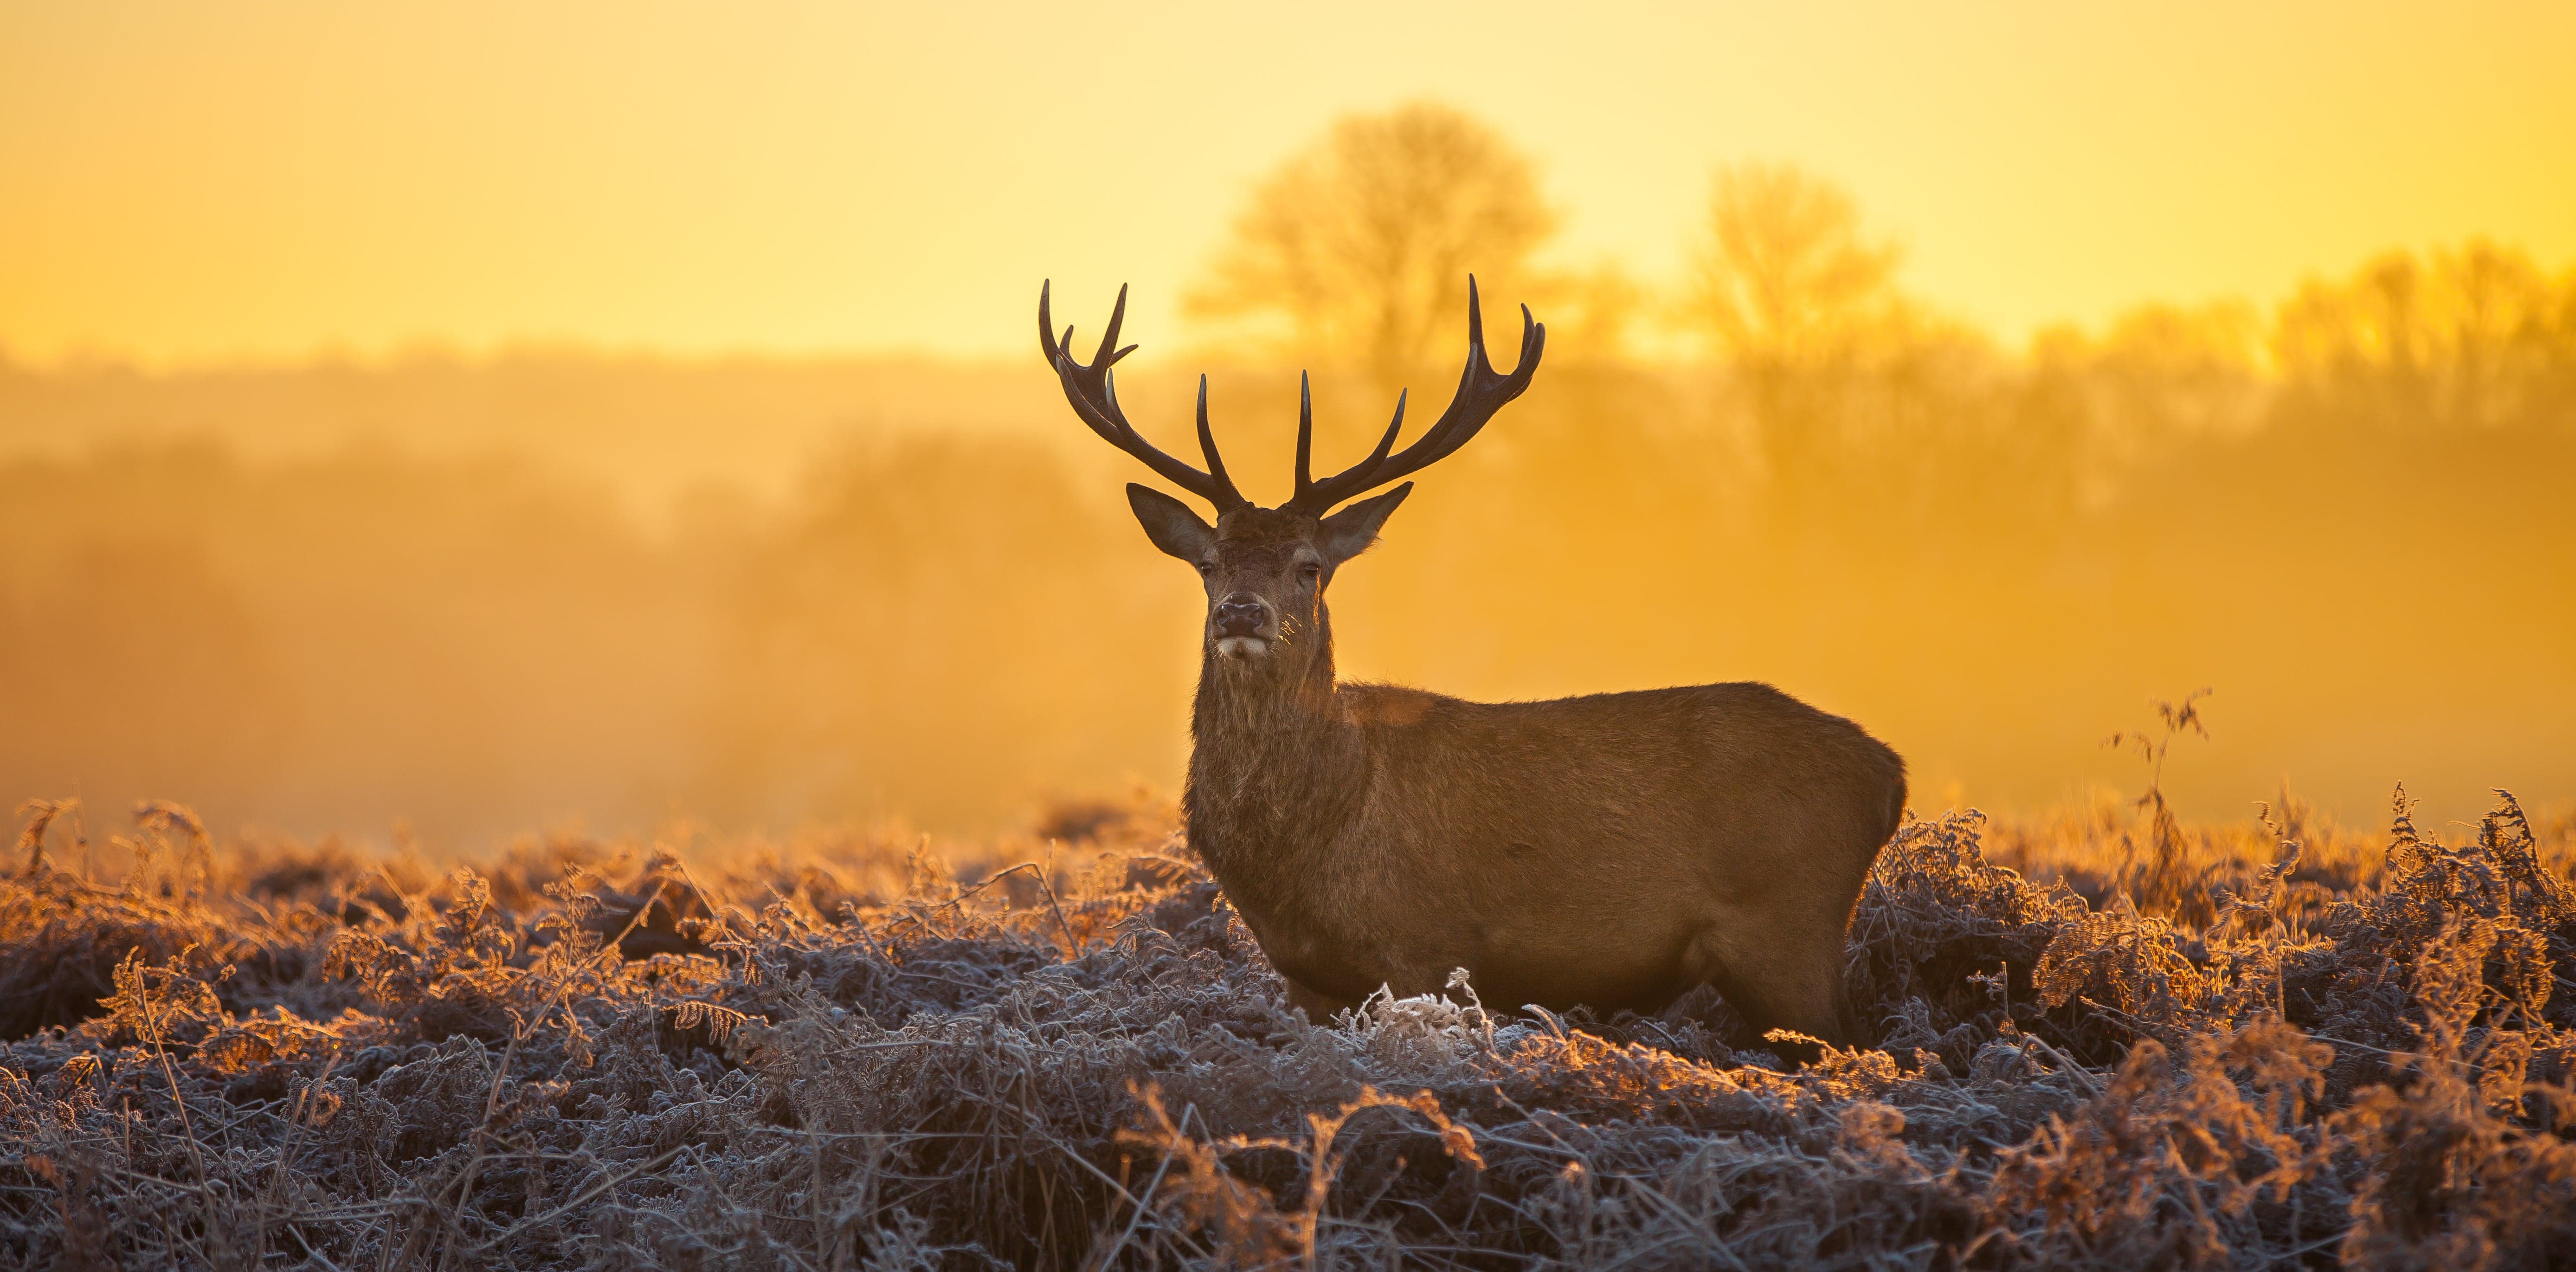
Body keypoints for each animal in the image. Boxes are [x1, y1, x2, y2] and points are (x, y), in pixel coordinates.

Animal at [1035, 273, 1906, 1050]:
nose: (1242, 614)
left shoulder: (1425, 943)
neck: (1308, 846)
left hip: (1787, 927)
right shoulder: (1305, 977)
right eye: (1209, 564)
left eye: (1310, 566)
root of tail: (1889, 771)